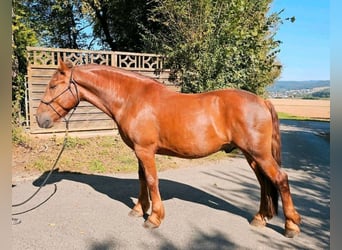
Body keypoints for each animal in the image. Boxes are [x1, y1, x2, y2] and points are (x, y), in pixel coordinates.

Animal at [36, 60, 300, 236]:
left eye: (53, 85)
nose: (40, 119)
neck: (132, 98)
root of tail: (262, 101)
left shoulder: (145, 151)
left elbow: (152, 181)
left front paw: (153, 218)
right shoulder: (139, 152)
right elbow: (142, 179)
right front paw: (138, 209)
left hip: (259, 154)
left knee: (280, 179)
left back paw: (291, 225)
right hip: (251, 155)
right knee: (265, 183)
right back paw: (260, 218)